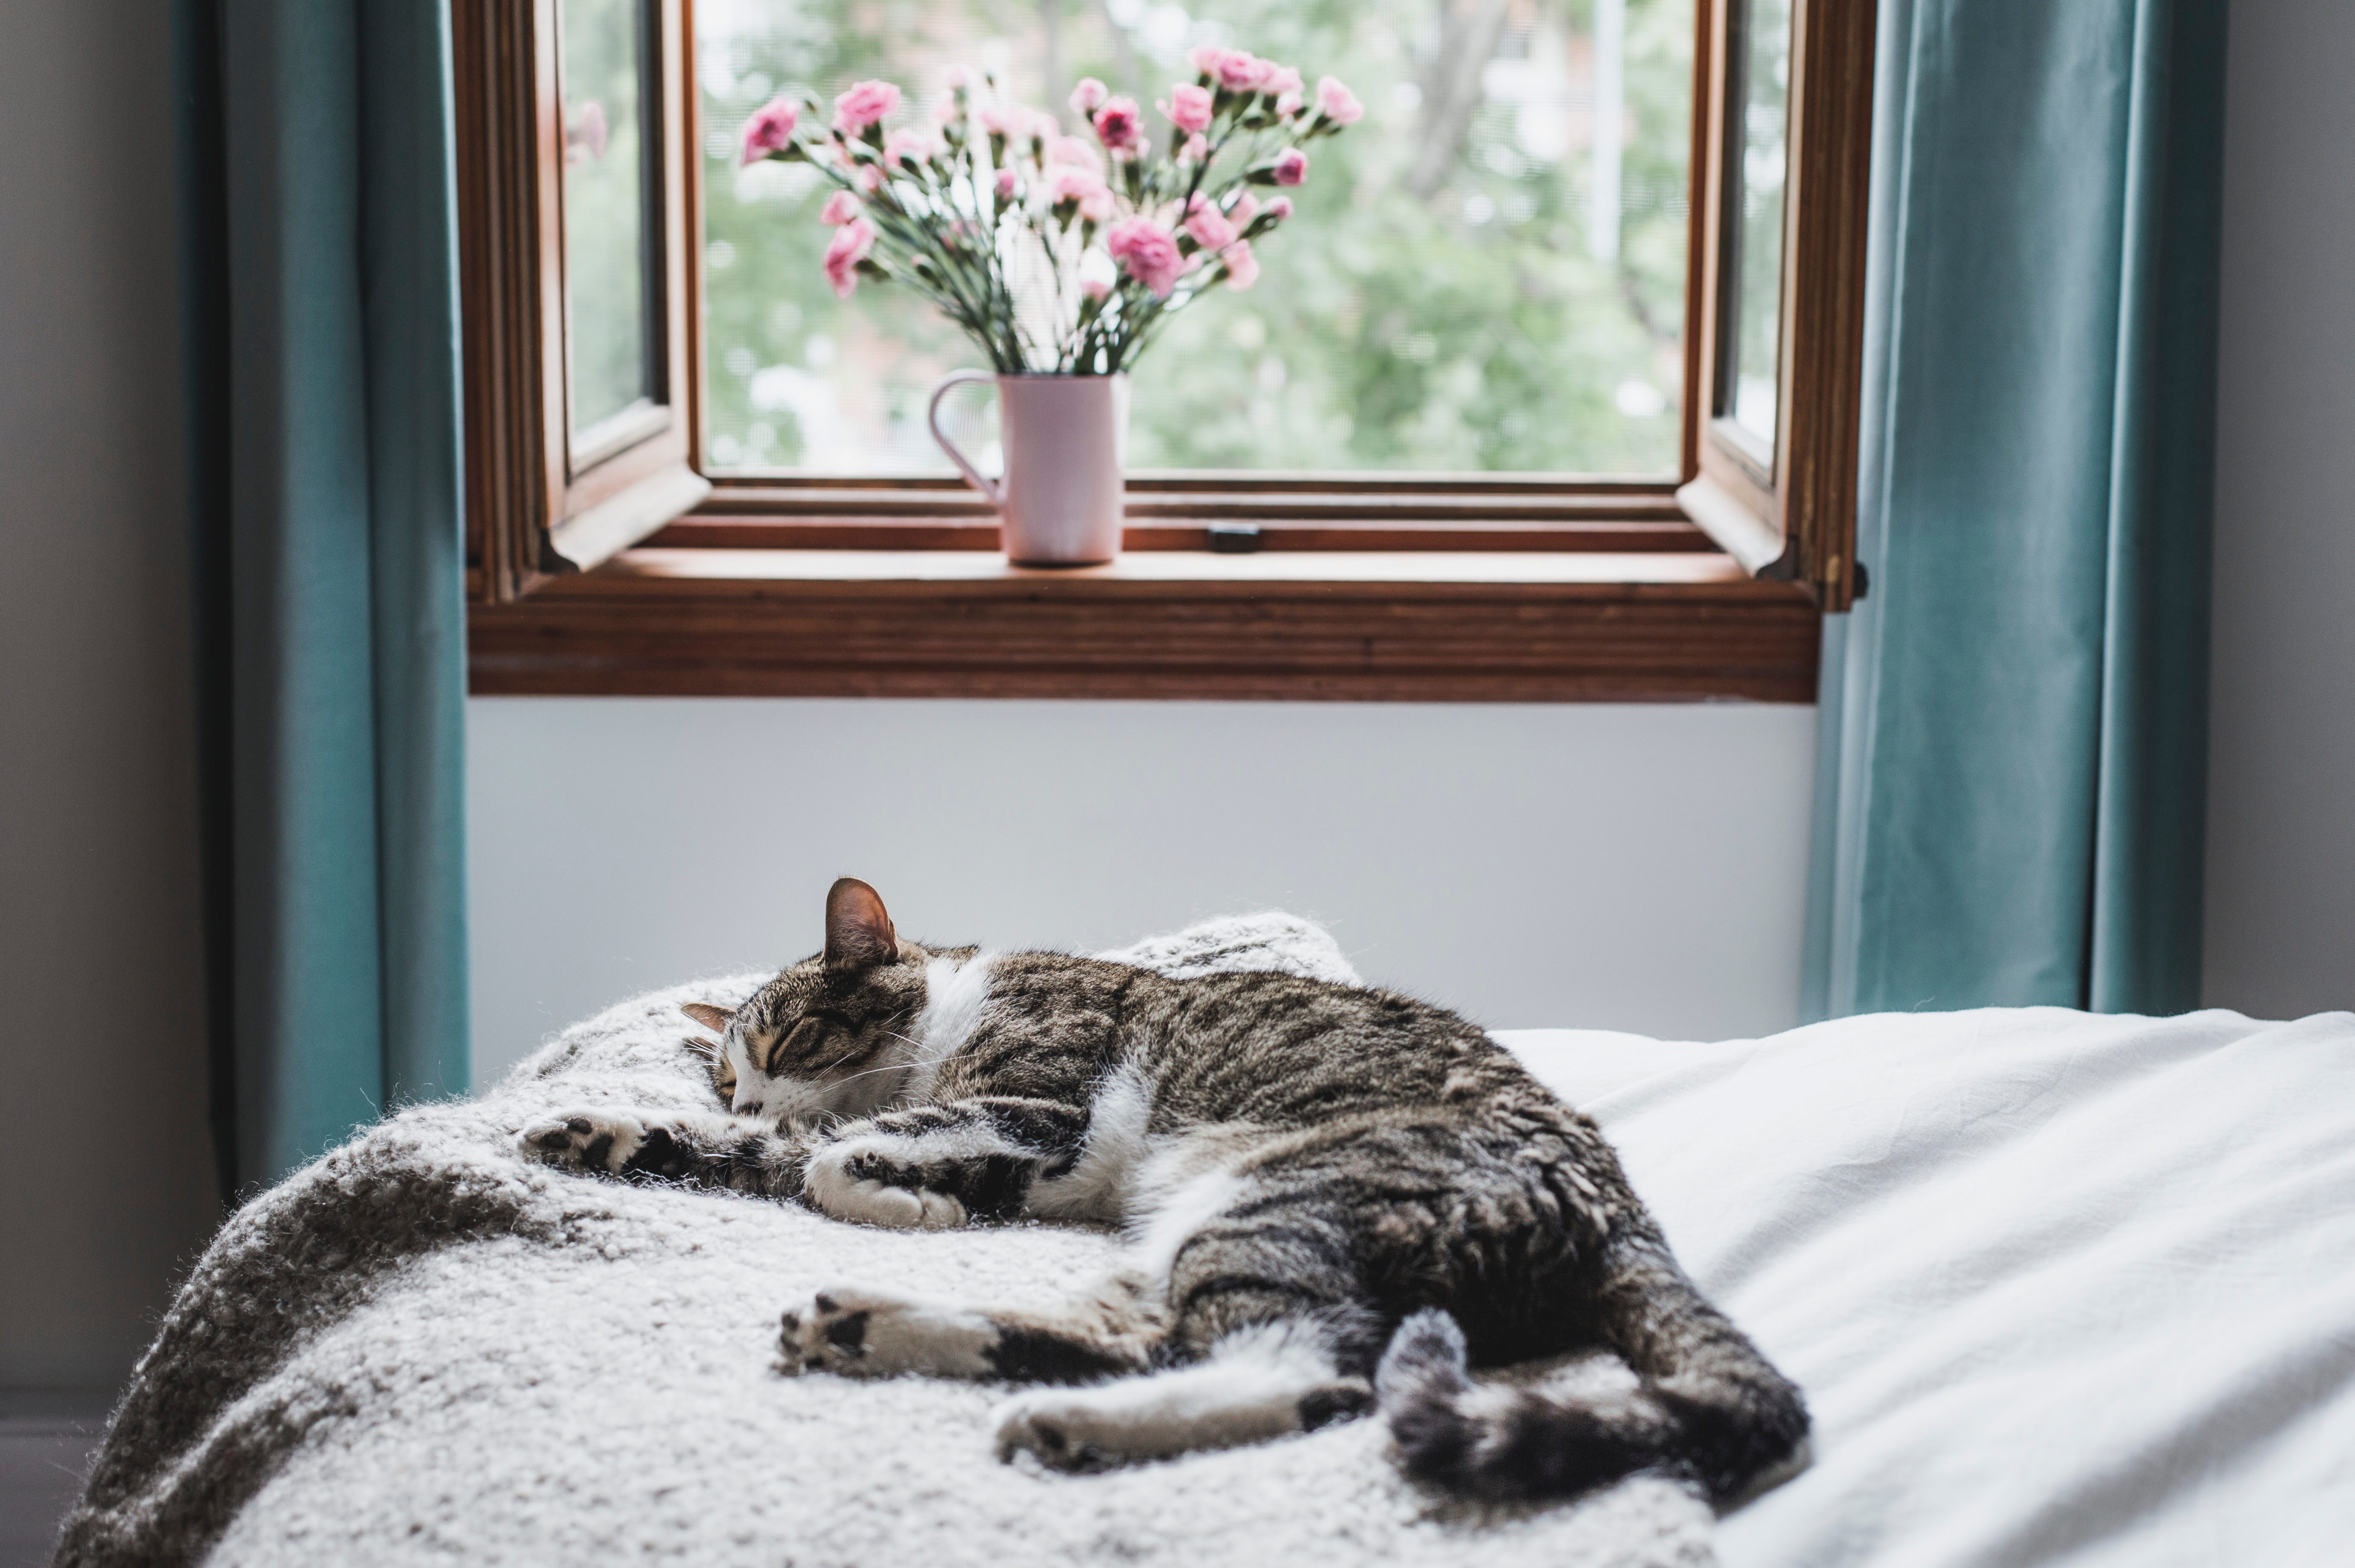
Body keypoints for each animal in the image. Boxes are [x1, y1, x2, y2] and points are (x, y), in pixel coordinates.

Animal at [525, 871, 1809, 1497]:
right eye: (725, 1078)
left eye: (788, 1044)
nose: (749, 1099)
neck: (950, 1013)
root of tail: (1621, 1207)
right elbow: (779, 1162)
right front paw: (594, 1134)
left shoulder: (1041, 1104)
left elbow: (834, 1164)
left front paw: (906, 1194)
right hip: (1183, 1234)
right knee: (1143, 1341)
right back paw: (869, 1328)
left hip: (1271, 1200)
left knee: (1301, 1375)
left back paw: (1052, 1418)